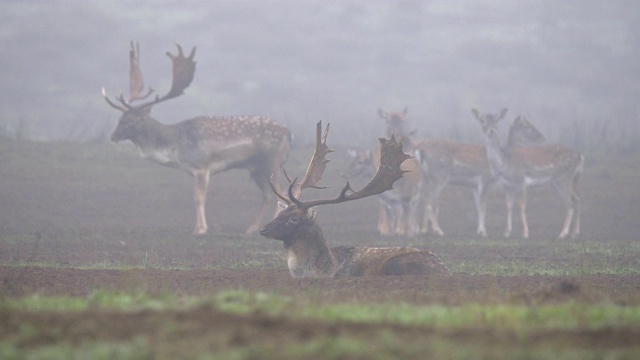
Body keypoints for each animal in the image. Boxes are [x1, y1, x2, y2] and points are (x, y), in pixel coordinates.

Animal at [101, 41, 292, 236]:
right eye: (120, 118)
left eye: (130, 121)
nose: (113, 136)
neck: (175, 149)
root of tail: (289, 132)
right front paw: (197, 227)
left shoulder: (202, 166)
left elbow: (199, 196)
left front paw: (200, 229)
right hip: (255, 167)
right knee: (267, 194)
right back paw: (251, 229)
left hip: (272, 160)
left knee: (281, 191)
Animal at [260, 121, 450, 278]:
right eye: (281, 211)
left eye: (294, 218)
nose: (263, 229)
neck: (323, 269)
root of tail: (445, 270)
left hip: (395, 264)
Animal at [470, 109, 584, 239]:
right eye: (482, 121)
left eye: (496, 121)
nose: (491, 130)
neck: (505, 162)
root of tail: (580, 156)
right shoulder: (507, 185)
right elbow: (508, 206)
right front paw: (506, 233)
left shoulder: (521, 181)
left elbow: (521, 206)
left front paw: (525, 233)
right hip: (565, 180)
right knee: (577, 200)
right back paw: (575, 233)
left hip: (563, 178)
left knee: (570, 203)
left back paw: (563, 234)